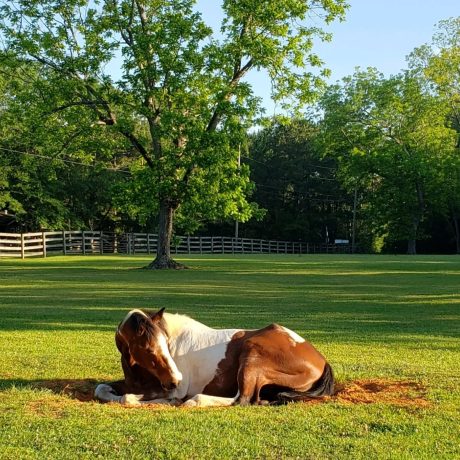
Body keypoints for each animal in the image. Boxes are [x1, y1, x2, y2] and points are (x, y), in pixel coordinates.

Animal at [96, 310, 334, 406]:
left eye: (165, 343)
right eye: (148, 349)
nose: (176, 379)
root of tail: (321, 361)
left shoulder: (168, 388)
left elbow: (128, 397)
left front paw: (168, 401)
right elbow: (101, 389)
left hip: (251, 356)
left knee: (242, 399)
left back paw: (194, 402)